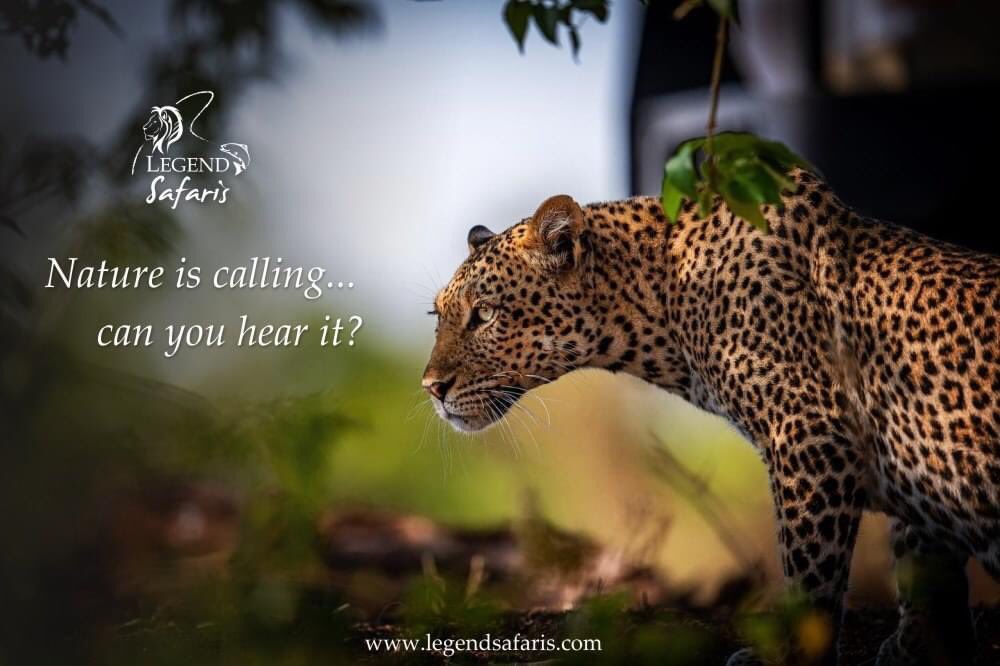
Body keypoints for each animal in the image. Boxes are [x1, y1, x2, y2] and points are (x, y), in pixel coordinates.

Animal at [422, 169, 1000, 665]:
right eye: (438, 316)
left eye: (484, 314)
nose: (431, 388)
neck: (659, 301)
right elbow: (922, 559)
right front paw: (923, 647)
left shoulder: (810, 436)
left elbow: (810, 572)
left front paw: (791, 655)